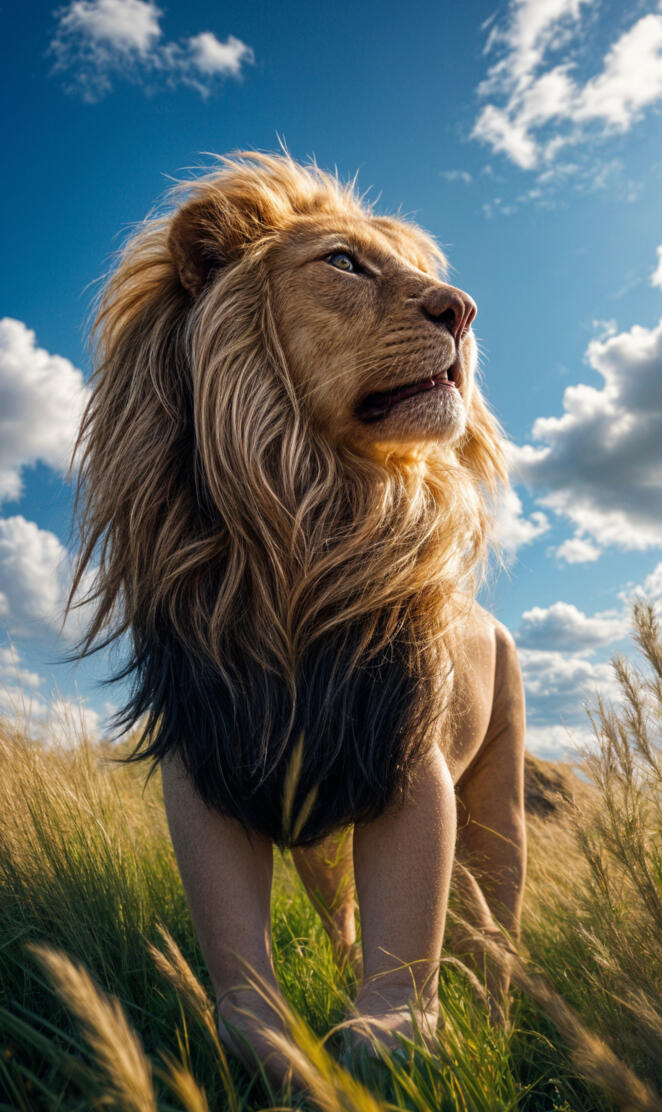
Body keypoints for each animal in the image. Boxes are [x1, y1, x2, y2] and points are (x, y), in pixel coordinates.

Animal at [65, 151, 526, 1078]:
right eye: (344, 264)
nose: (462, 309)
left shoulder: (403, 752)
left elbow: (409, 926)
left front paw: (394, 1039)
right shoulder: (206, 754)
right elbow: (234, 951)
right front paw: (278, 1052)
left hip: (501, 797)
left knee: (494, 929)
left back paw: (497, 1033)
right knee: (349, 916)